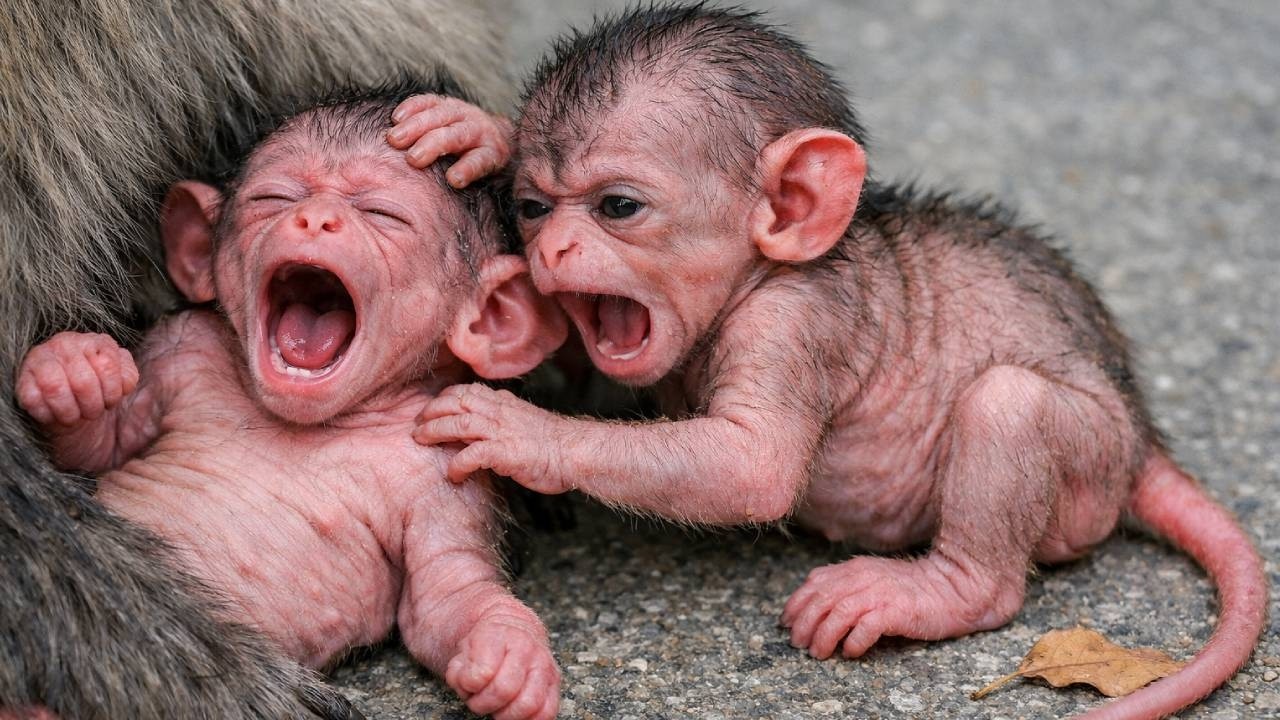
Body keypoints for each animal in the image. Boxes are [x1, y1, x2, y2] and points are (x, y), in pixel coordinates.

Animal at [0, 1, 514, 716]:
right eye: (276, 197)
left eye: (383, 214)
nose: (317, 220)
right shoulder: (181, 349)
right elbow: (100, 446)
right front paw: (73, 373)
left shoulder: (442, 477)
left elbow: (449, 588)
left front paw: (508, 665)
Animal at [401, 5, 1268, 719]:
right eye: (531, 208)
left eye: (620, 206)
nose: (551, 250)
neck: (761, 275)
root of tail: (1143, 438)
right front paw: (475, 132)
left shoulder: (794, 321)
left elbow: (753, 464)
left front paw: (522, 430)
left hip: (1091, 461)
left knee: (1009, 403)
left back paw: (938, 591)